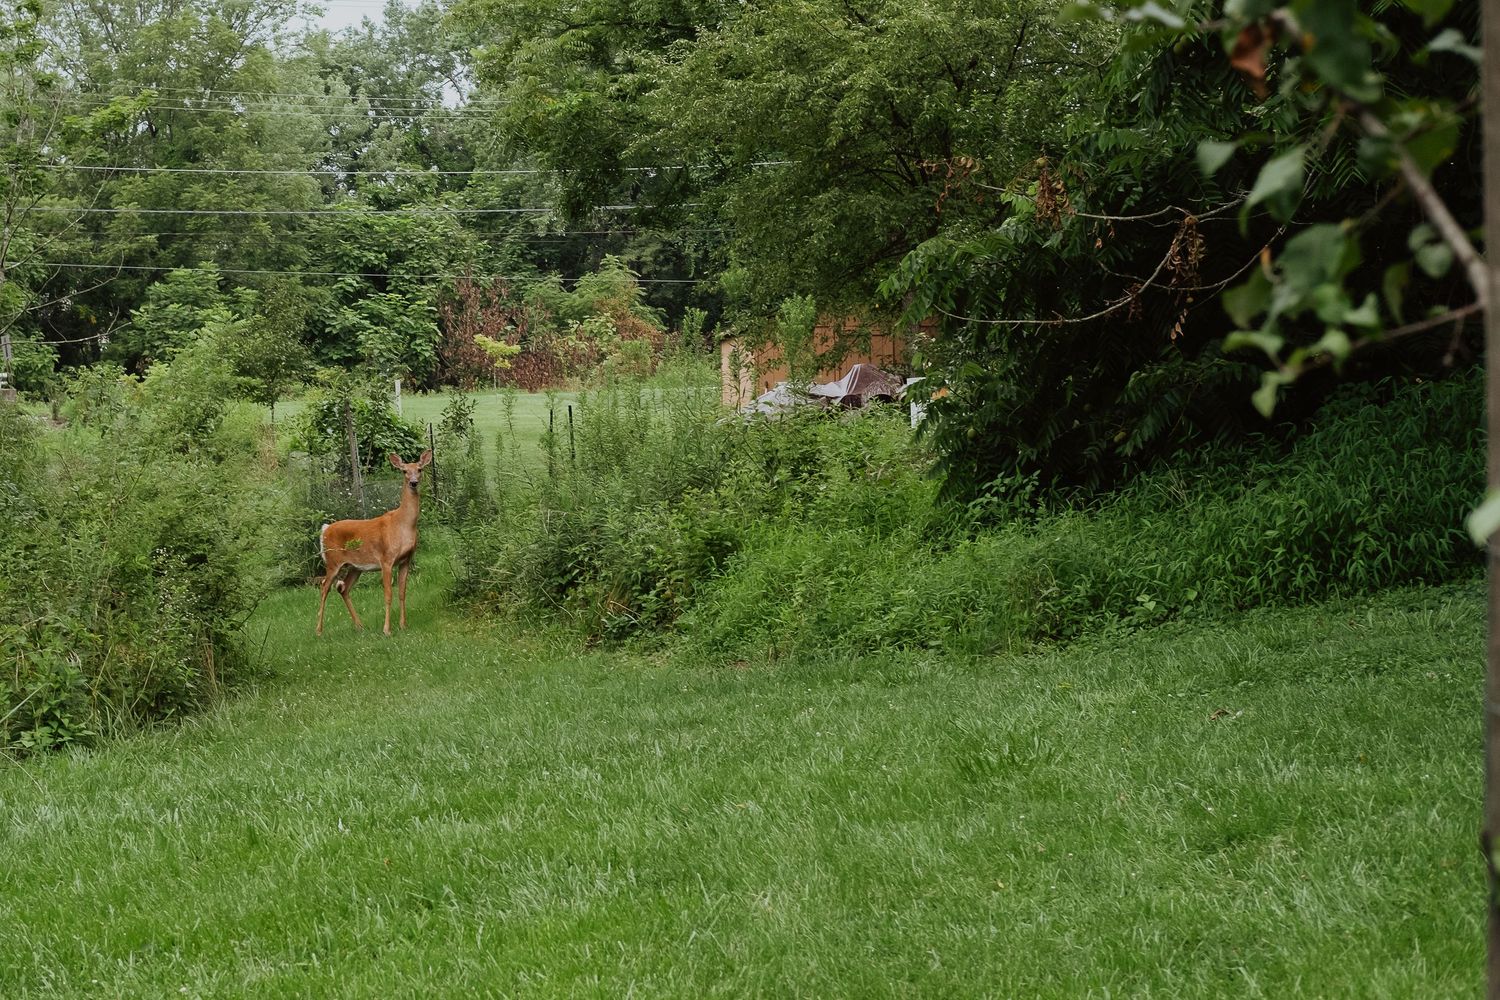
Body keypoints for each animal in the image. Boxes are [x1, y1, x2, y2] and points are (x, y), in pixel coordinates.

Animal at [316, 450, 432, 636]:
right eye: (404, 471)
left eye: (419, 469)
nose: (413, 482)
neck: (403, 524)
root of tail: (325, 529)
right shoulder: (386, 559)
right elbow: (388, 594)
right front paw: (387, 630)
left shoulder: (406, 559)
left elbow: (402, 593)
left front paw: (403, 625)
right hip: (333, 561)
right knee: (324, 587)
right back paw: (319, 631)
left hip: (354, 566)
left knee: (343, 588)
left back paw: (359, 626)